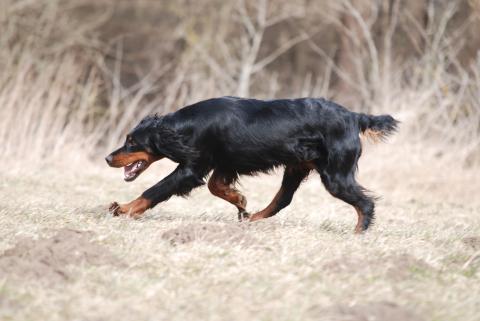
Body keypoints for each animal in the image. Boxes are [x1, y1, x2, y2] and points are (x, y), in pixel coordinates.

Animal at [107, 95, 400, 232]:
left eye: (132, 141)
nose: (109, 158)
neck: (184, 127)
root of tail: (354, 117)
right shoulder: (224, 164)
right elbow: (216, 186)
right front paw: (239, 201)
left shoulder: (191, 168)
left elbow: (155, 190)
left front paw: (124, 208)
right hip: (297, 167)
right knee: (282, 199)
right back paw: (253, 218)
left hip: (335, 175)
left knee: (365, 203)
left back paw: (359, 232)